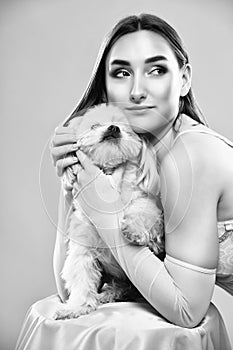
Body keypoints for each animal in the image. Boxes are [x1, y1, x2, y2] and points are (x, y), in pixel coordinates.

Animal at [54, 104, 164, 320]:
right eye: (93, 125)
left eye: (126, 127)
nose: (113, 128)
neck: (110, 174)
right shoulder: (83, 249)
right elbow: (81, 279)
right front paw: (77, 307)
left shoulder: (147, 206)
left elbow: (140, 210)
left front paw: (133, 230)